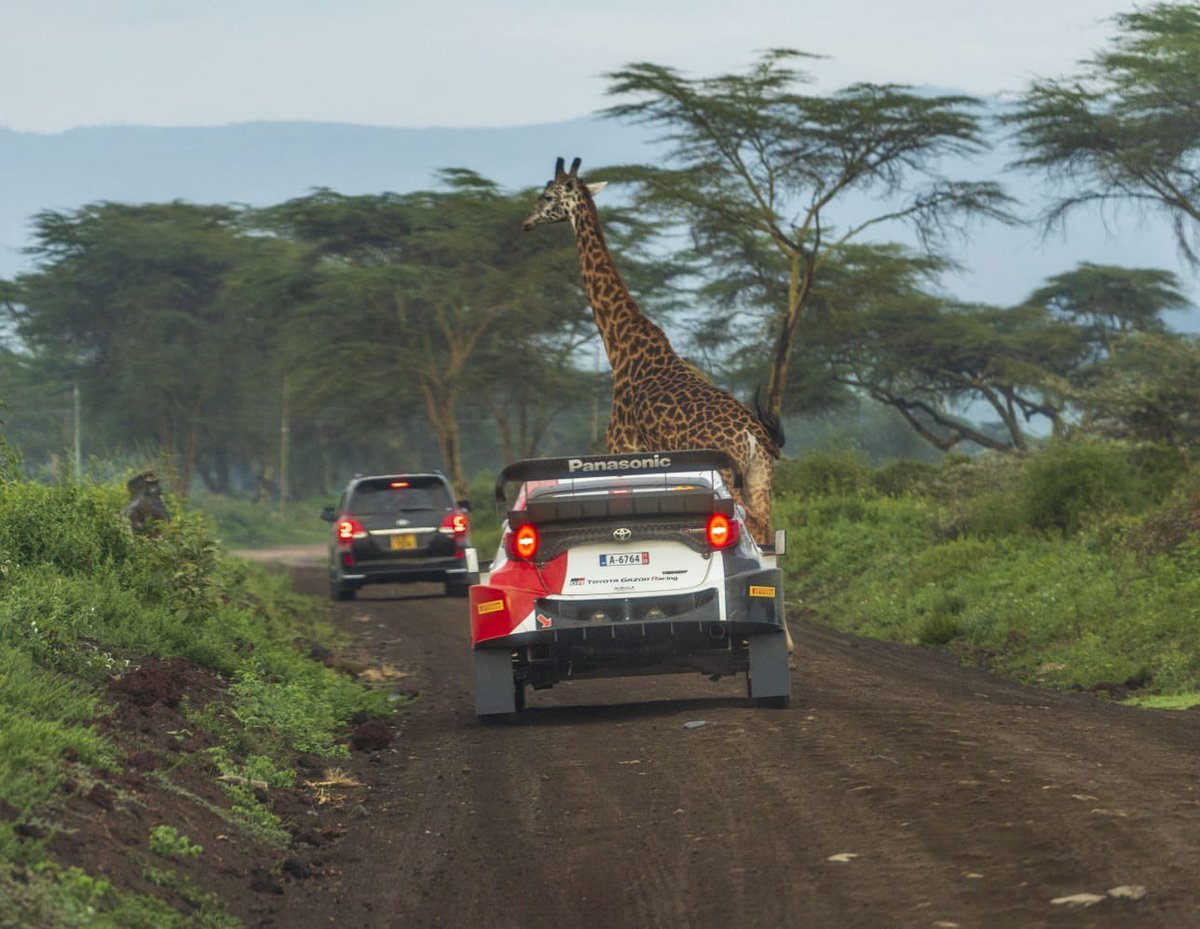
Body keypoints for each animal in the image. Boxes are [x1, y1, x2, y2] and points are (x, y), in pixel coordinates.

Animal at [520, 158, 782, 544]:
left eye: (548, 195)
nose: (527, 221)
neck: (621, 345)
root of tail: (752, 434)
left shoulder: (621, 451)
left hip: (729, 477)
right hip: (760, 476)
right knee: (766, 531)